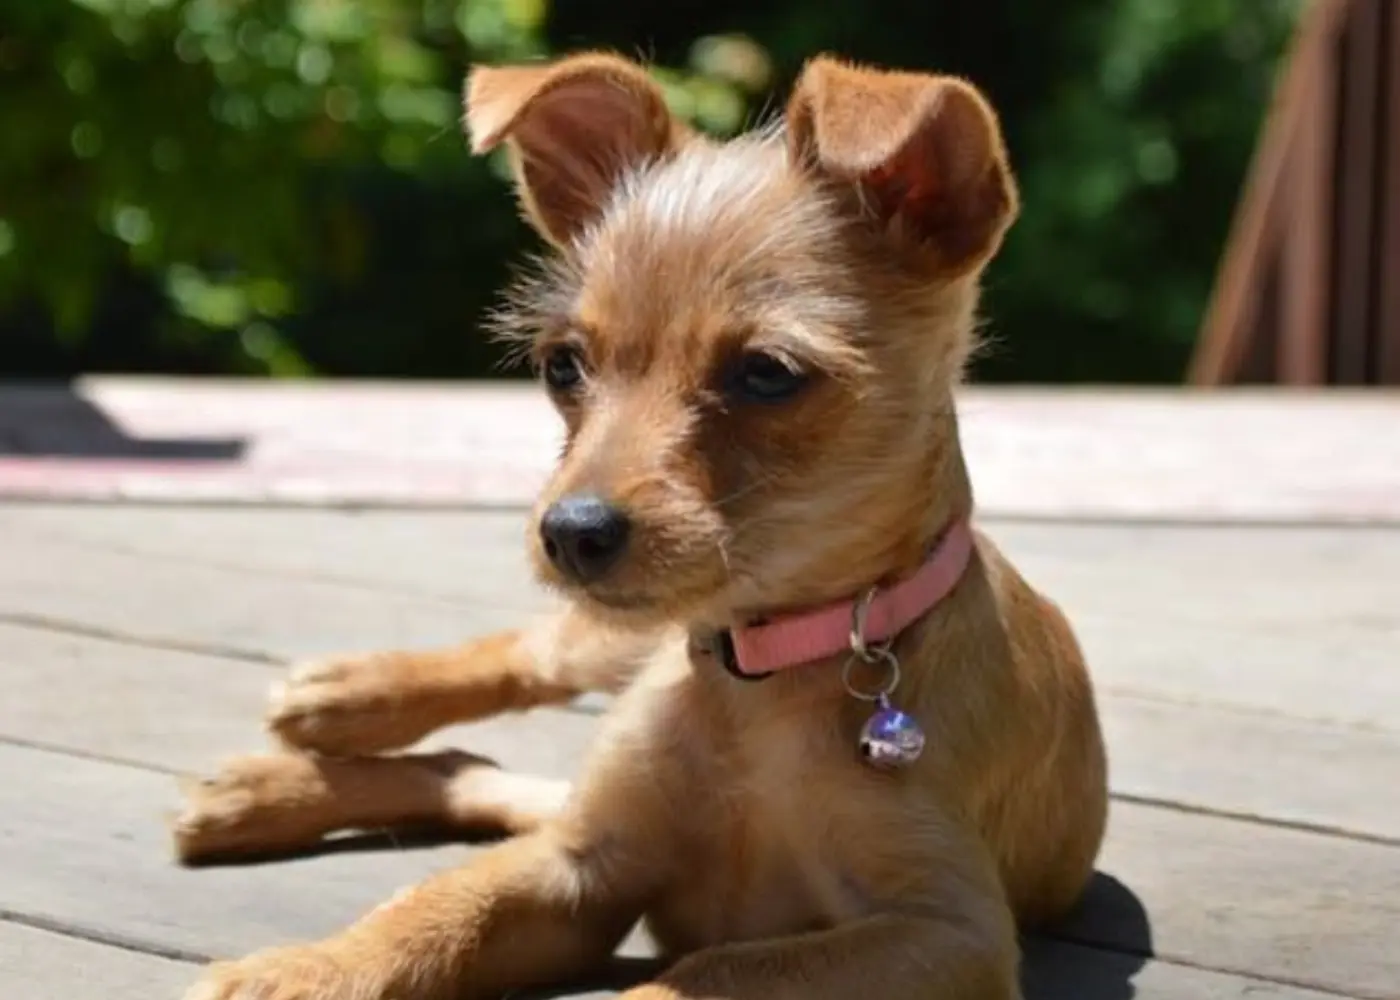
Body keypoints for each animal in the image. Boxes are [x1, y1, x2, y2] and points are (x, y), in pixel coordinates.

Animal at [175, 52, 1108, 997]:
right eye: (562, 366)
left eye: (768, 373)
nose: (570, 532)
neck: (762, 673)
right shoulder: (585, 864)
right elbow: (435, 910)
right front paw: (310, 967)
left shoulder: (944, 931)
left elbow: (706, 976)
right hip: (607, 658)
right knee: (528, 672)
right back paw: (337, 704)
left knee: (484, 777)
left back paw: (264, 789)